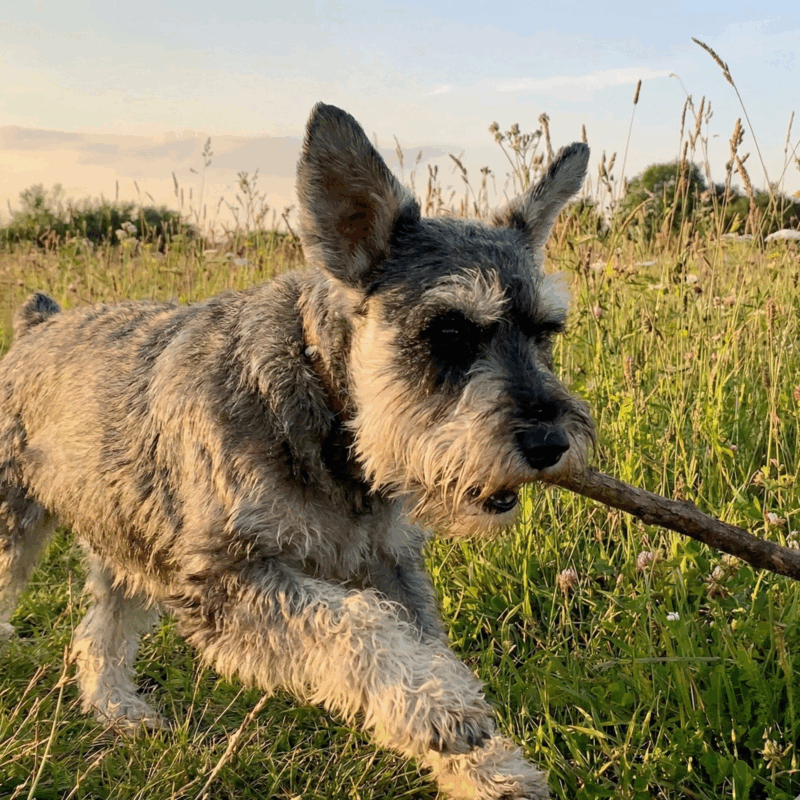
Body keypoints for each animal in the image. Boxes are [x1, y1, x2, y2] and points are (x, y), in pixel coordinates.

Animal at [0, 103, 592, 799]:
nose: (550, 443)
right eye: (447, 331)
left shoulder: (387, 565)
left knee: (102, 632)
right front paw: (440, 710)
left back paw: (117, 710)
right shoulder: (226, 576)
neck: (326, 409)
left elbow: (422, 645)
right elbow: (352, 626)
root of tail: (35, 325)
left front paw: (493, 771)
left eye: (547, 331)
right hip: (21, 525)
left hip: (133, 538)